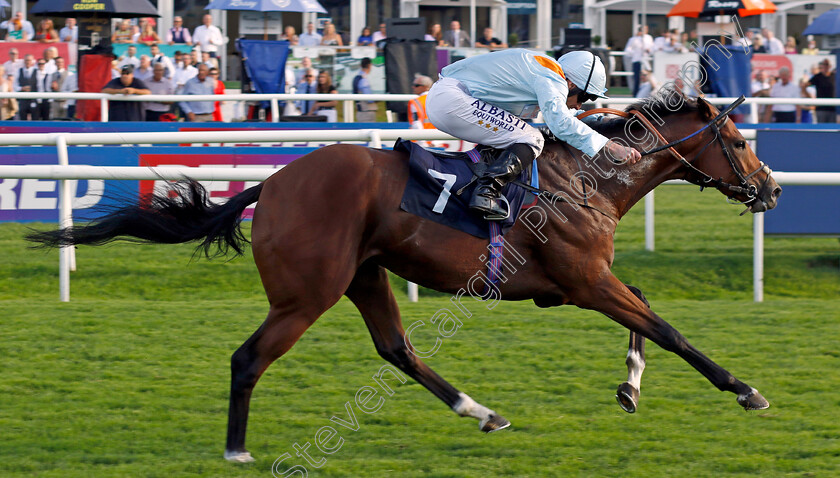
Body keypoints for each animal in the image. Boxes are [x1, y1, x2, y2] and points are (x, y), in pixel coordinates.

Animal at [27, 90, 780, 464]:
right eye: (740, 140)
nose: (770, 188)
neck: (589, 175)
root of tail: (272, 184)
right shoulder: (586, 283)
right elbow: (670, 328)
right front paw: (744, 389)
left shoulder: (575, 285)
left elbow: (646, 312)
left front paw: (628, 387)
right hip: (309, 291)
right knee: (249, 358)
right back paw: (237, 450)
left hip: (365, 275)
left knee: (398, 349)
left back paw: (482, 412)